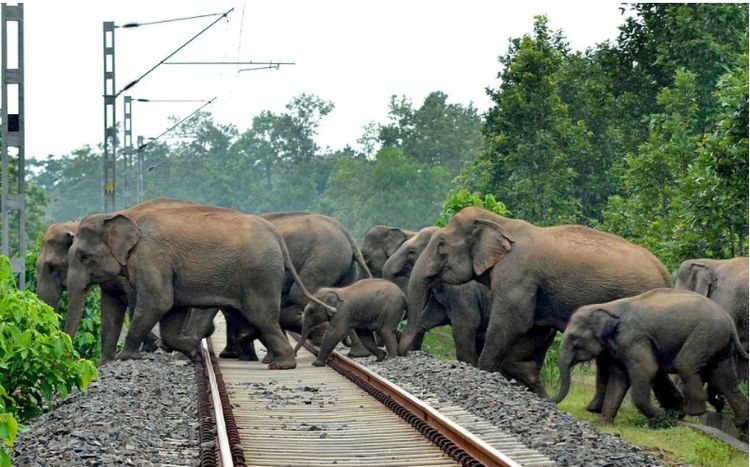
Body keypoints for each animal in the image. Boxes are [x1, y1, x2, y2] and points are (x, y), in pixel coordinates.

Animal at [66, 201, 336, 370]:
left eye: (83, 256)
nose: (69, 359)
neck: (122, 214)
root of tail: (276, 236)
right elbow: (169, 311)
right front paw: (193, 351)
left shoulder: (152, 257)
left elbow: (158, 302)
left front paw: (126, 357)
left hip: (259, 274)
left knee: (262, 316)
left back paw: (281, 365)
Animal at [402, 207, 680, 412]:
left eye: (440, 245)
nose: (400, 354)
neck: (500, 223)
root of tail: (665, 274)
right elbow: (531, 328)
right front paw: (528, 381)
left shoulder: (517, 275)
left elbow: (512, 323)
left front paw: (482, 375)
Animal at [548, 288, 748, 430]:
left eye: (574, 339)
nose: (549, 400)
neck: (608, 306)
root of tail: (730, 321)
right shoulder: (620, 347)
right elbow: (619, 378)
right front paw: (602, 424)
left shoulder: (633, 338)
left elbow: (646, 369)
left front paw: (661, 416)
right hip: (718, 341)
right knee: (724, 379)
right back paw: (741, 422)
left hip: (705, 334)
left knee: (686, 364)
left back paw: (690, 411)